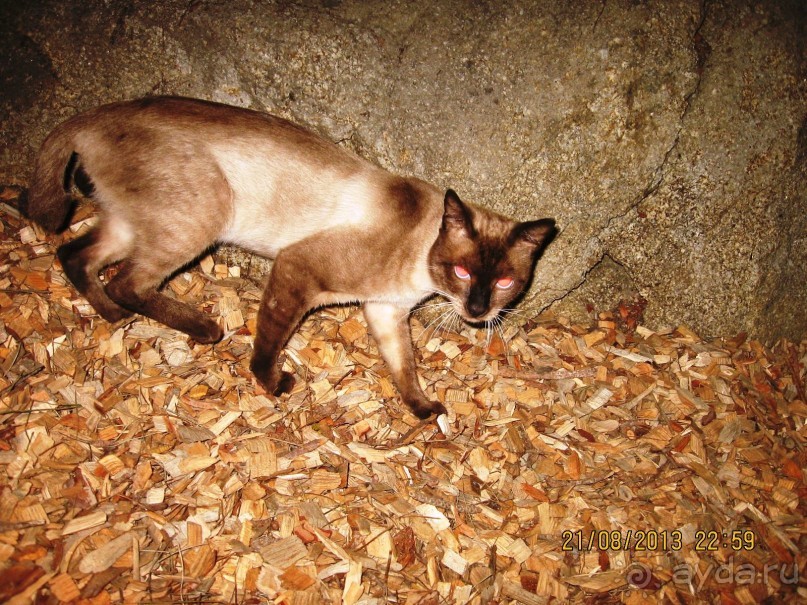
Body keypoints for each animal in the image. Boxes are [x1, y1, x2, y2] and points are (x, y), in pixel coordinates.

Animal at [23, 98, 556, 420]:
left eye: (505, 283)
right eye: (462, 272)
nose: (477, 310)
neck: (419, 263)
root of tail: (93, 116)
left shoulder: (385, 312)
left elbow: (404, 367)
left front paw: (423, 408)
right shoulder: (298, 269)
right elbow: (270, 341)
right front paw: (273, 382)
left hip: (132, 224)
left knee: (75, 254)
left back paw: (111, 316)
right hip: (202, 217)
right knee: (125, 281)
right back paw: (204, 328)